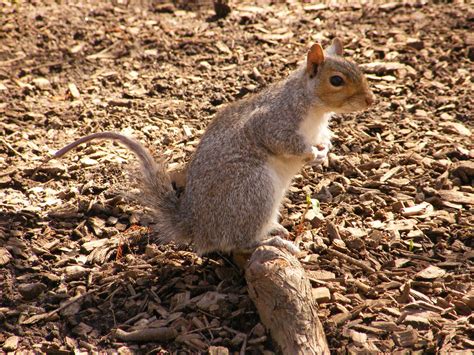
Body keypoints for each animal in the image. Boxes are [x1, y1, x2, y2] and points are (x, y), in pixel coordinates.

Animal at [51, 38, 374, 256]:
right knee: (238, 241)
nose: (370, 101)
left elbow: (324, 139)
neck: (314, 108)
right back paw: (273, 240)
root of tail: (199, 228)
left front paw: (324, 151)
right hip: (252, 190)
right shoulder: (273, 121)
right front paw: (310, 154)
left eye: (360, 70)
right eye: (336, 80)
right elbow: (280, 141)